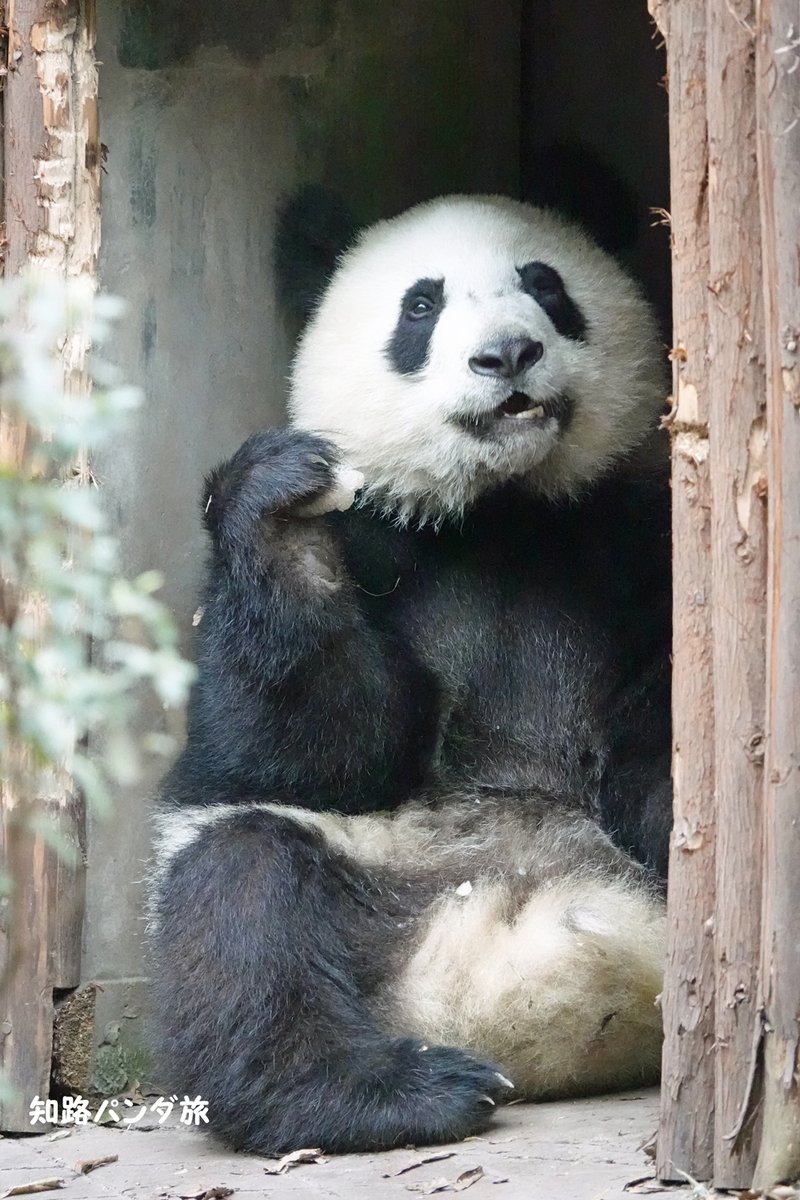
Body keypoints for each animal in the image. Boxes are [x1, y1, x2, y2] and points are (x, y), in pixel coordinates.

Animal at [150, 194, 672, 1156]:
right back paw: (389, 1092)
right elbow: (309, 749)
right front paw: (280, 501)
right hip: (369, 880)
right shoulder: (376, 547)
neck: (500, 510)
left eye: (546, 285)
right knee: (240, 901)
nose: (506, 355)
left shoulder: (625, 538)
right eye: (420, 307)